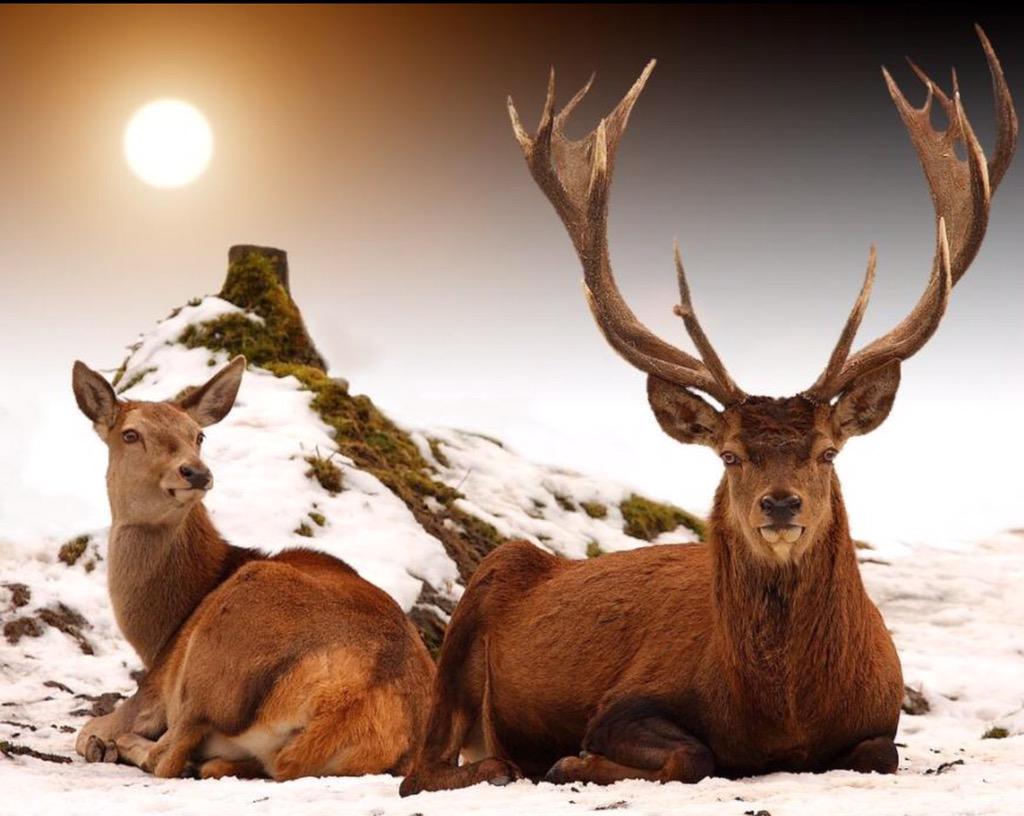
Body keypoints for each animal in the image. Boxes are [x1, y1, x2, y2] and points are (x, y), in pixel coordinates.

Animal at [71, 355, 436, 780]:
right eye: (130, 434)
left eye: (198, 435)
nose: (196, 471)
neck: (160, 632)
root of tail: (349, 703)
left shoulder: (155, 686)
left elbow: (90, 730)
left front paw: (102, 742)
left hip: (212, 668)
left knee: (169, 754)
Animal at [400, 26, 1016, 795]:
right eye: (729, 454)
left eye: (827, 451)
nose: (780, 504)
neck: (782, 717)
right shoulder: (623, 702)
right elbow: (692, 754)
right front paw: (573, 760)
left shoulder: (881, 717)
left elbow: (878, 750)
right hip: (475, 601)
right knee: (419, 768)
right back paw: (507, 764)